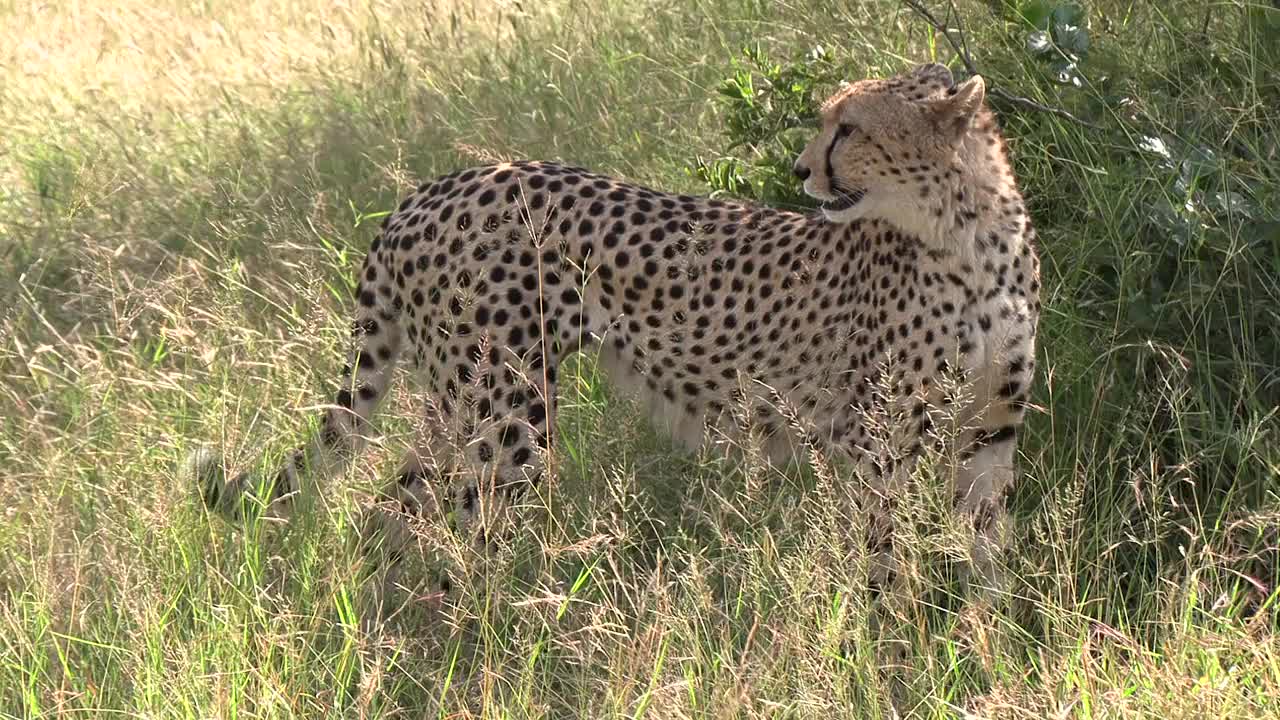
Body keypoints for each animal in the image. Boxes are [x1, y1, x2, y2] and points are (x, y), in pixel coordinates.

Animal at [192, 61, 1039, 597]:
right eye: (828, 123)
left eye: (850, 129)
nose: (802, 170)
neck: (970, 234)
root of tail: (430, 190)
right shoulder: (878, 437)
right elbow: (886, 549)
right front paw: (892, 642)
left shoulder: (991, 427)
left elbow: (984, 546)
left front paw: (984, 641)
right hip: (508, 409)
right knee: (463, 522)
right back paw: (479, 637)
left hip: (455, 398)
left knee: (392, 511)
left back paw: (392, 629)